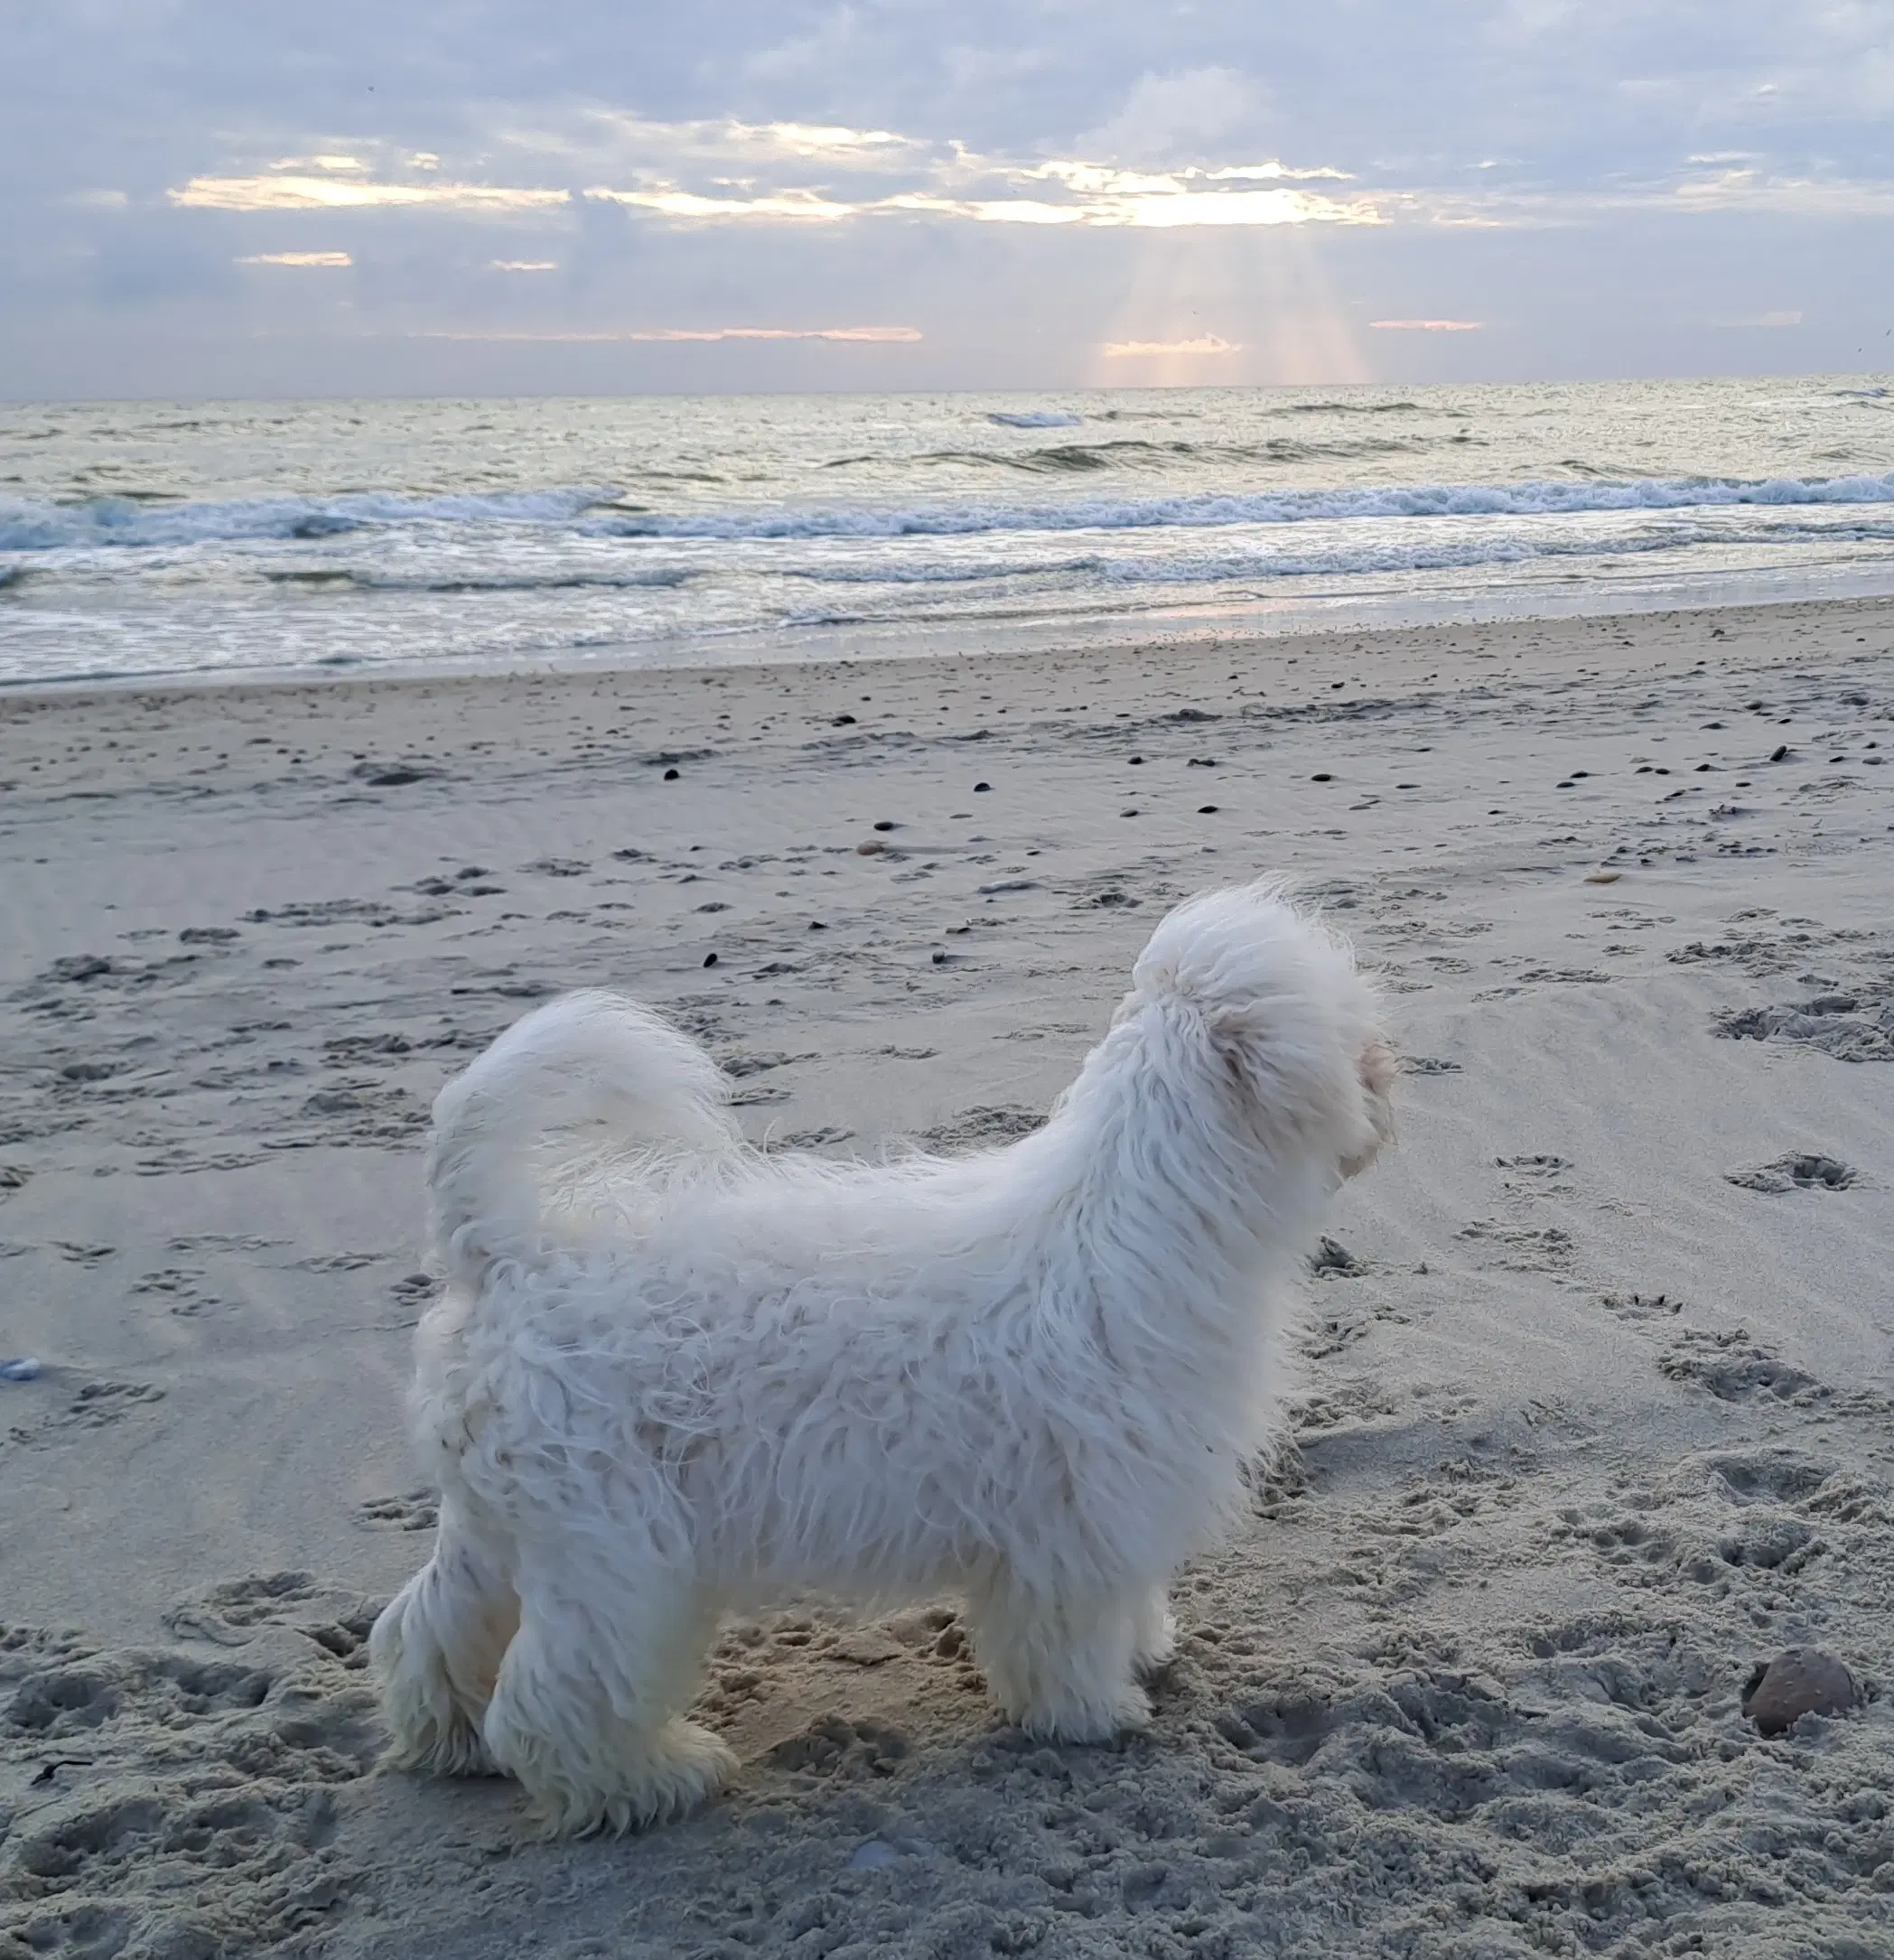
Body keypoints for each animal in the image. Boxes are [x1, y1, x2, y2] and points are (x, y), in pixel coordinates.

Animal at [370, 890, 1395, 1834]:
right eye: (1352, 1030)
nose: (1391, 1070)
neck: (1133, 1209)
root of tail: (505, 1251)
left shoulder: (1113, 1512)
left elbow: (1125, 1604)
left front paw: (1147, 1649)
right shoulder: (1073, 1521)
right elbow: (1064, 1639)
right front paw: (1094, 1714)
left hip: (504, 1528)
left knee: (429, 1631)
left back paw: (451, 1740)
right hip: (615, 1559)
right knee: (556, 1699)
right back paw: (653, 1780)